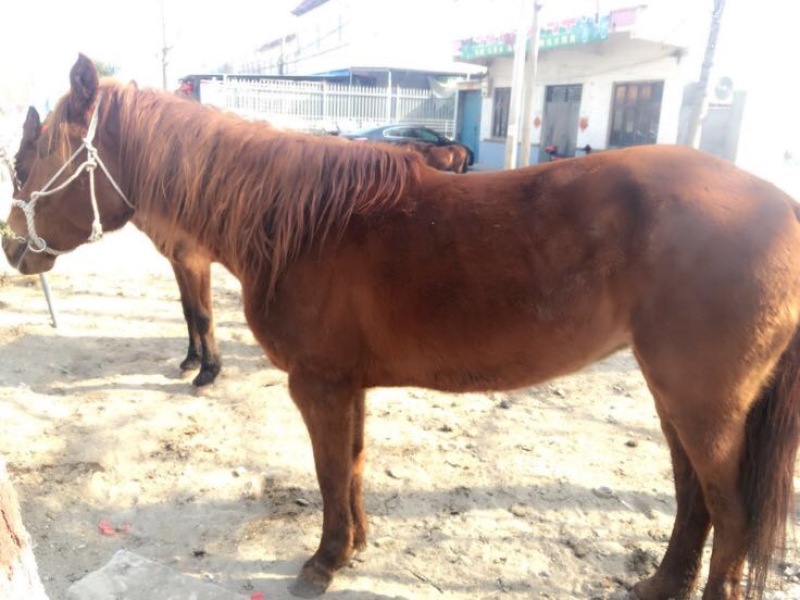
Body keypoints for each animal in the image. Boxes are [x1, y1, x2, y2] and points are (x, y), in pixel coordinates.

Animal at [11, 105, 222, 387]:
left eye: (20, 168)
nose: (9, 246)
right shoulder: (177, 261)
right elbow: (188, 309)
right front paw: (192, 359)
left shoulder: (195, 261)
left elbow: (202, 313)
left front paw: (209, 370)